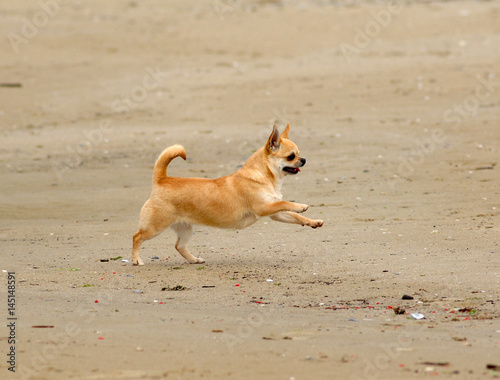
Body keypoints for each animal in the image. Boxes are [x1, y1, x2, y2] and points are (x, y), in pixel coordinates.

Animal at [131, 125, 322, 268]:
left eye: (298, 154)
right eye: (291, 156)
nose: (304, 160)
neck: (265, 177)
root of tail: (162, 179)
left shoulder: (275, 213)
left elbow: (295, 216)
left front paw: (313, 222)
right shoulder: (264, 208)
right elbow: (285, 202)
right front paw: (301, 205)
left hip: (184, 228)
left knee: (179, 246)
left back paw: (194, 259)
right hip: (155, 227)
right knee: (137, 237)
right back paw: (136, 260)